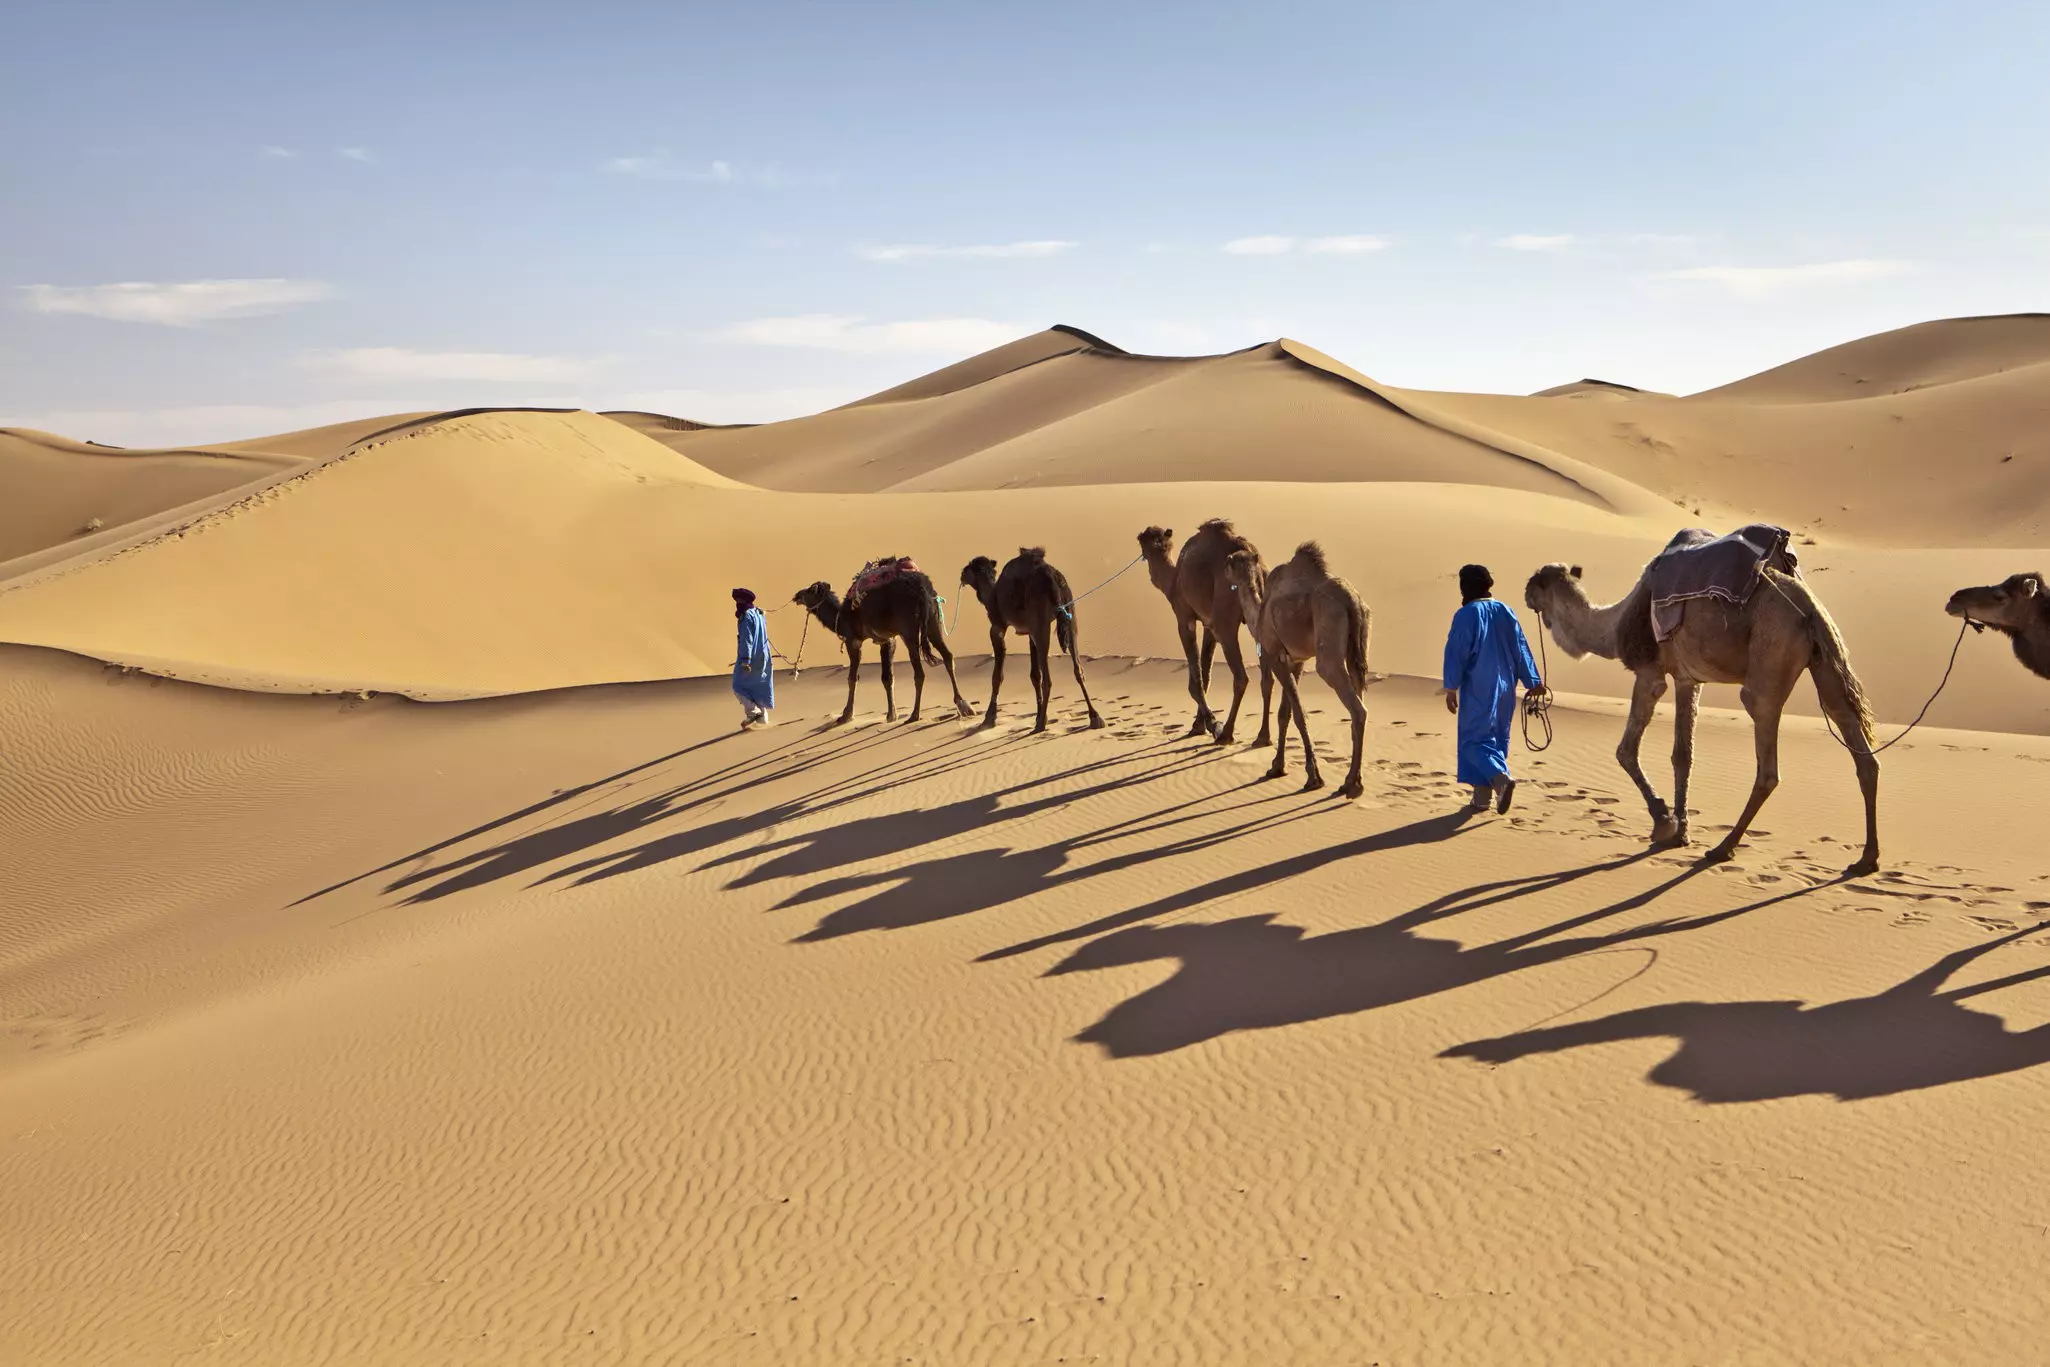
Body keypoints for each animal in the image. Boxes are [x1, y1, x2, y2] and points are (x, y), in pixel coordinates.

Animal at [794, 567, 973, 726]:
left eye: (810, 590)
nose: (796, 595)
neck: (841, 617)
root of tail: (923, 587)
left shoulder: (853, 641)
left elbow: (852, 678)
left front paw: (846, 716)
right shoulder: (887, 640)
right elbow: (887, 678)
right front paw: (891, 715)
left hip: (909, 628)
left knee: (920, 672)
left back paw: (914, 715)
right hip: (933, 619)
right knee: (948, 656)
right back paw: (964, 705)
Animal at [960, 548, 1107, 733]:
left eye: (969, 567)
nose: (961, 574)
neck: (991, 595)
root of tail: (1052, 577)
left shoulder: (997, 627)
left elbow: (997, 676)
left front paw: (989, 718)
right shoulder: (1030, 631)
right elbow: (1034, 675)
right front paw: (1037, 714)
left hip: (1041, 621)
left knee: (1048, 679)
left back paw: (1041, 724)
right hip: (1069, 615)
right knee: (1078, 669)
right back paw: (1095, 717)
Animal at [1137, 520, 1273, 746]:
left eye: (1143, 542)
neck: (1173, 580)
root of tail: (1259, 566)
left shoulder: (1185, 617)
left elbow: (1196, 680)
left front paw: (1210, 724)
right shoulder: (1209, 624)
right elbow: (1206, 675)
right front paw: (1199, 724)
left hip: (1226, 620)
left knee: (1241, 677)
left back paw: (1226, 734)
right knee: (1267, 679)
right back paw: (1263, 737)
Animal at [1223, 542, 1372, 798]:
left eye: (1230, 561)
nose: (1223, 571)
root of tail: (1352, 601)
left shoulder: (1275, 655)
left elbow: (1299, 713)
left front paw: (1313, 777)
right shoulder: (1297, 661)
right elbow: (1285, 713)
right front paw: (1276, 766)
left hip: (1328, 647)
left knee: (1357, 708)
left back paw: (1351, 784)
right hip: (1358, 647)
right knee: (1358, 692)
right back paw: (1352, 781)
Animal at [1523, 555, 1881, 876]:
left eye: (1538, 579)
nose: (1525, 592)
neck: (1616, 624)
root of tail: (1811, 611)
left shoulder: (1649, 673)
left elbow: (1626, 751)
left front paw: (1663, 821)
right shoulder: (1688, 678)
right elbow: (1683, 754)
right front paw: (1680, 831)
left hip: (1770, 660)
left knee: (1767, 763)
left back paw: (1723, 848)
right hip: (1827, 664)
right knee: (1858, 746)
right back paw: (1866, 860)